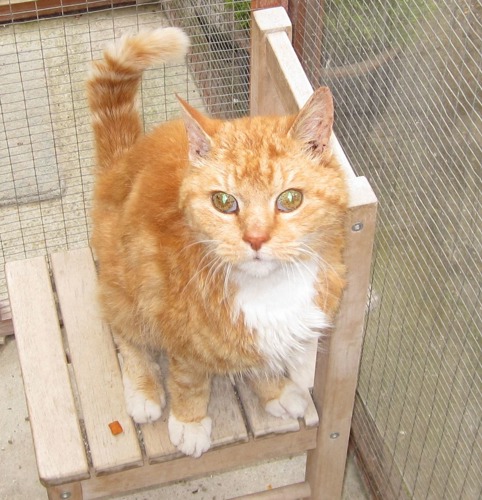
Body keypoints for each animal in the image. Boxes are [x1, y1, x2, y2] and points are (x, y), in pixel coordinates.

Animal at [86, 26, 348, 458]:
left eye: (290, 199)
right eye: (224, 202)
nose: (256, 238)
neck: (268, 291)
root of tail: (122, 162)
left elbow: (260, 359)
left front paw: (273, 389)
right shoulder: (179, 331)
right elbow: (189, 378)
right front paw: (190, 421)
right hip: (126, 286)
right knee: (124, 330)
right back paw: (143, 388)